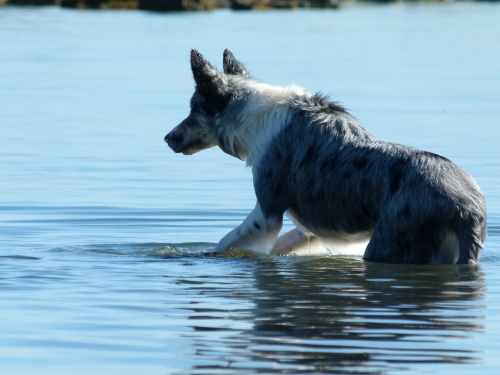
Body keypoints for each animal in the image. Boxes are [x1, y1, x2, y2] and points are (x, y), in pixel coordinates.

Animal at [166, 49, 486, 264]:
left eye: (193, 108)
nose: (168, 138)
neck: (253, 116)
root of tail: (469, 209)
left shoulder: (267, 211)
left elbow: (225, 242)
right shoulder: (309, 227)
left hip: (386, 244)